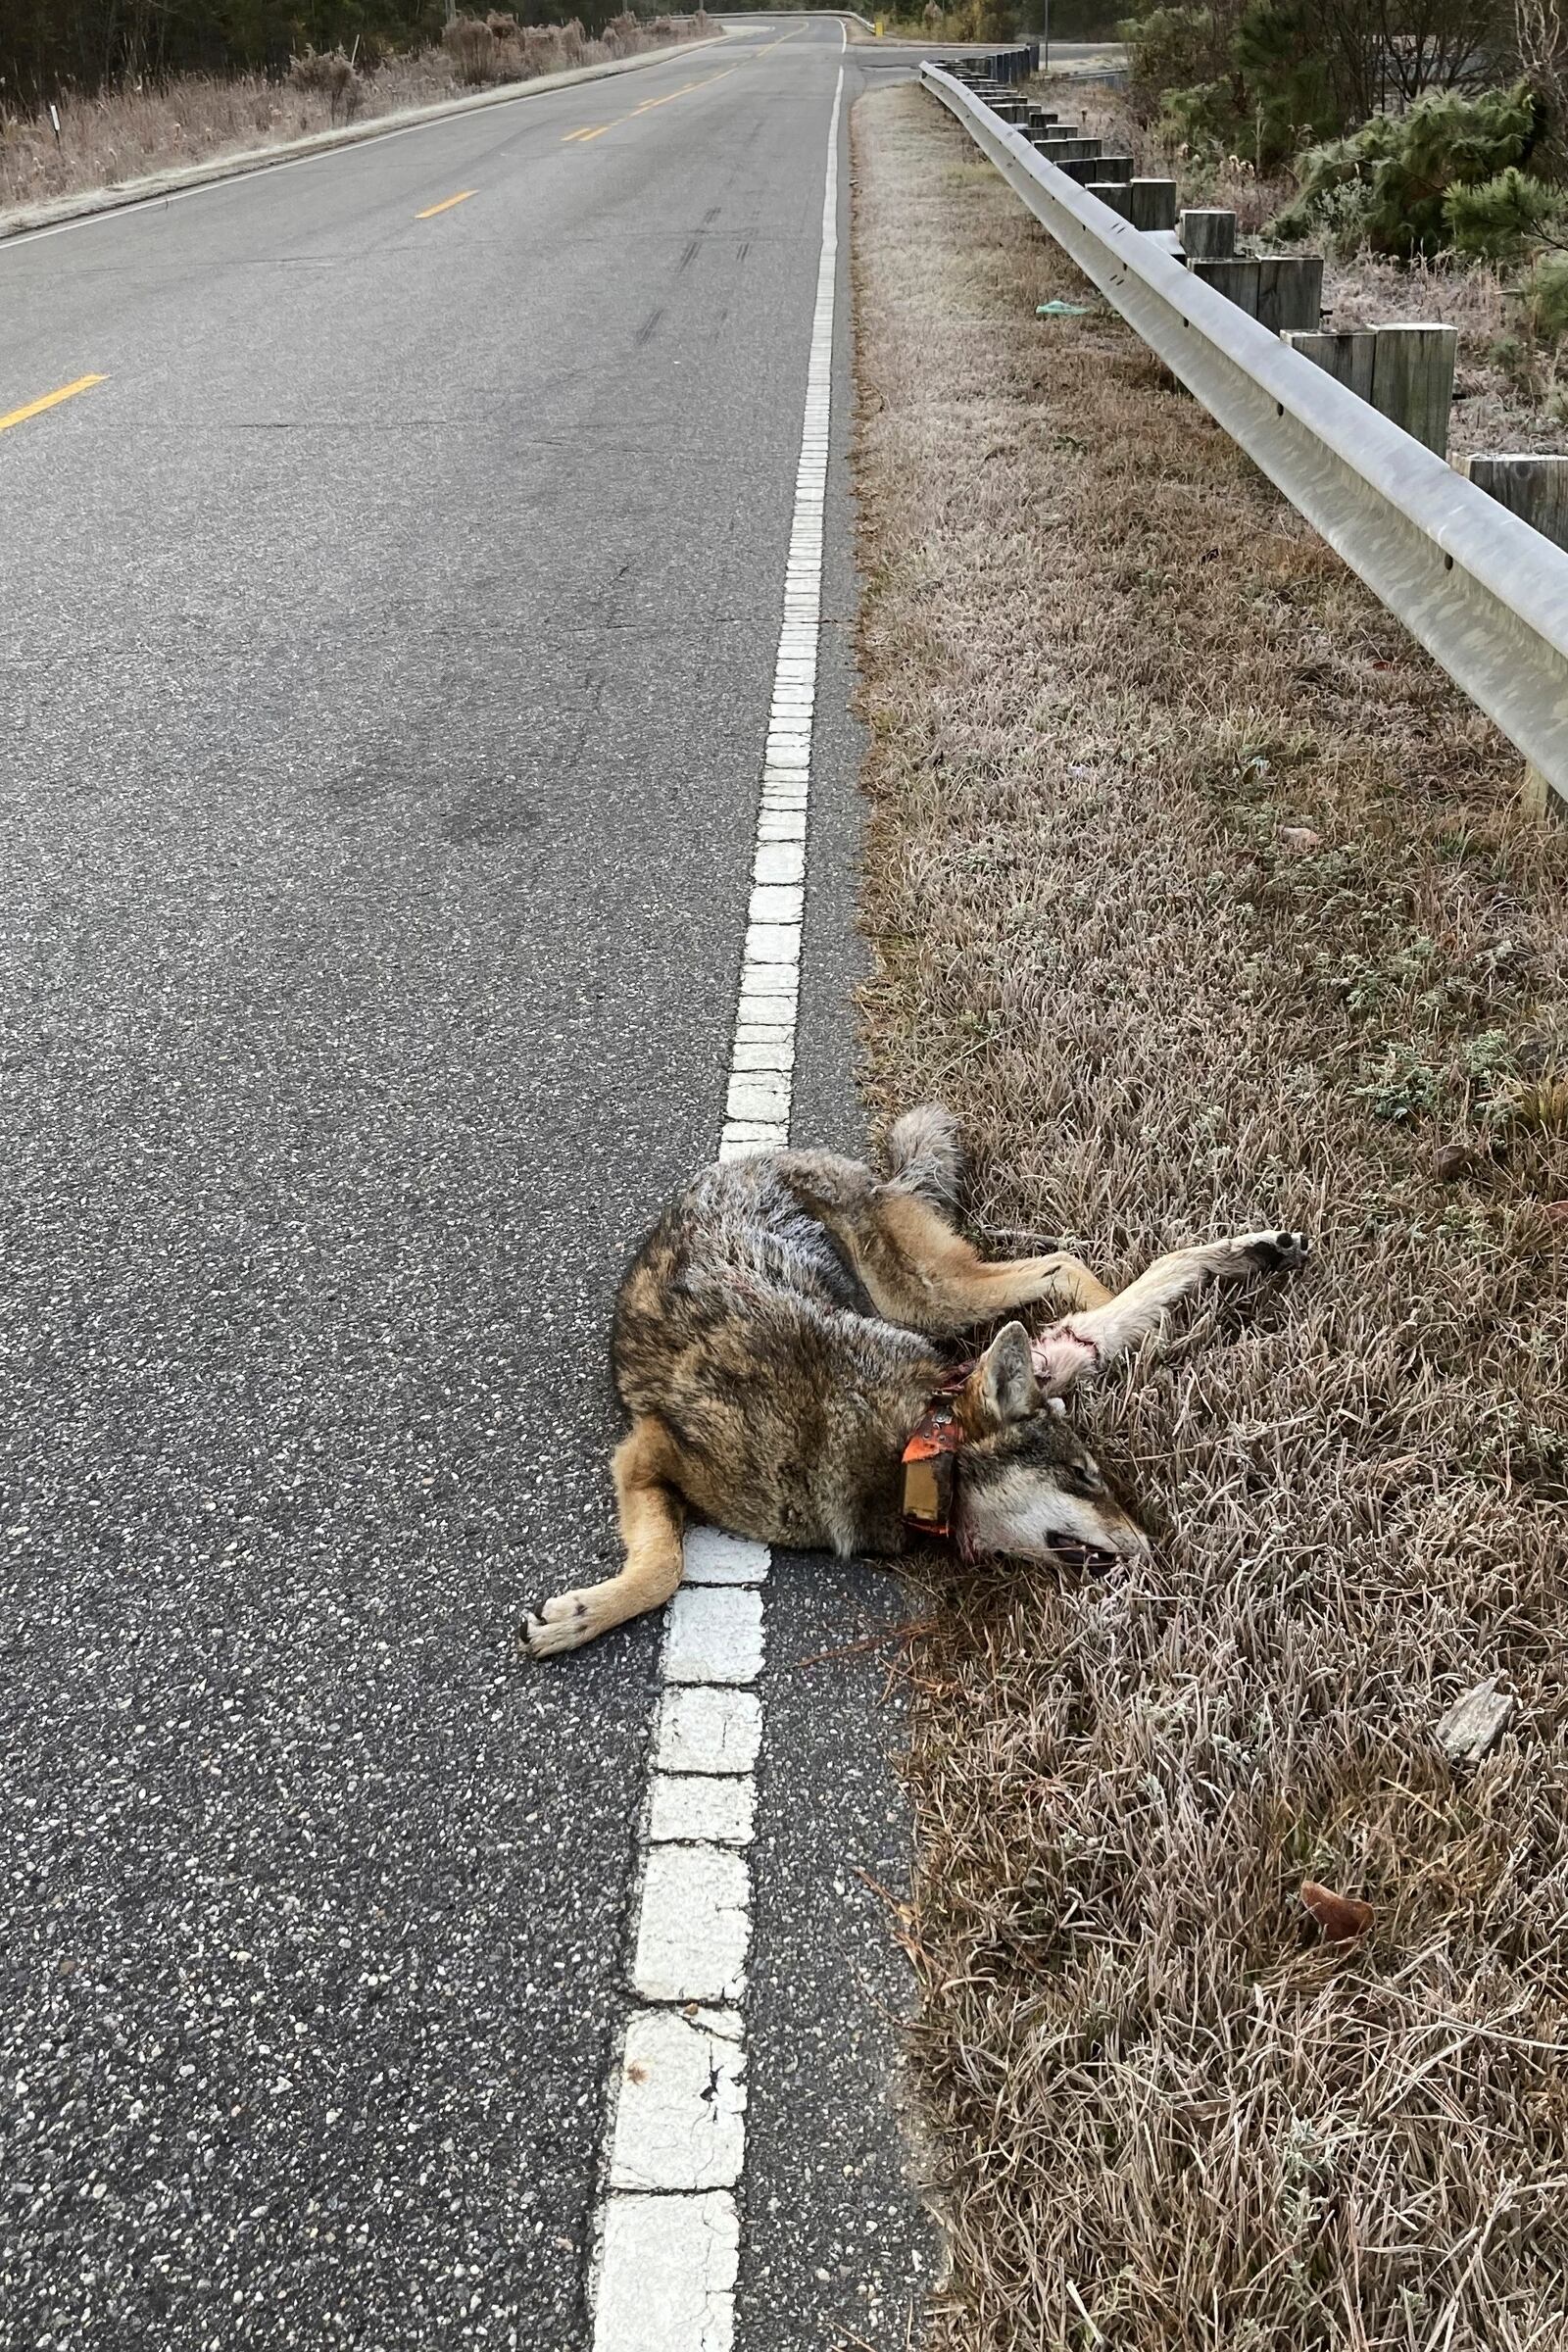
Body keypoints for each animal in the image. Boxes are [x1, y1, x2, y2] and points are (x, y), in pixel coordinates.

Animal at [526, 1109, 1316, 1665]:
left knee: (1069, 1270)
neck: (907, 1442)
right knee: (1073, 1281)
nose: (1156, 1547)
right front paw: (578, 1619)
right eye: (1085, 1478)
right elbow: (664, 1566)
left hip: (930, 1299)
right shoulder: (648, 1450)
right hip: (930, 1298)